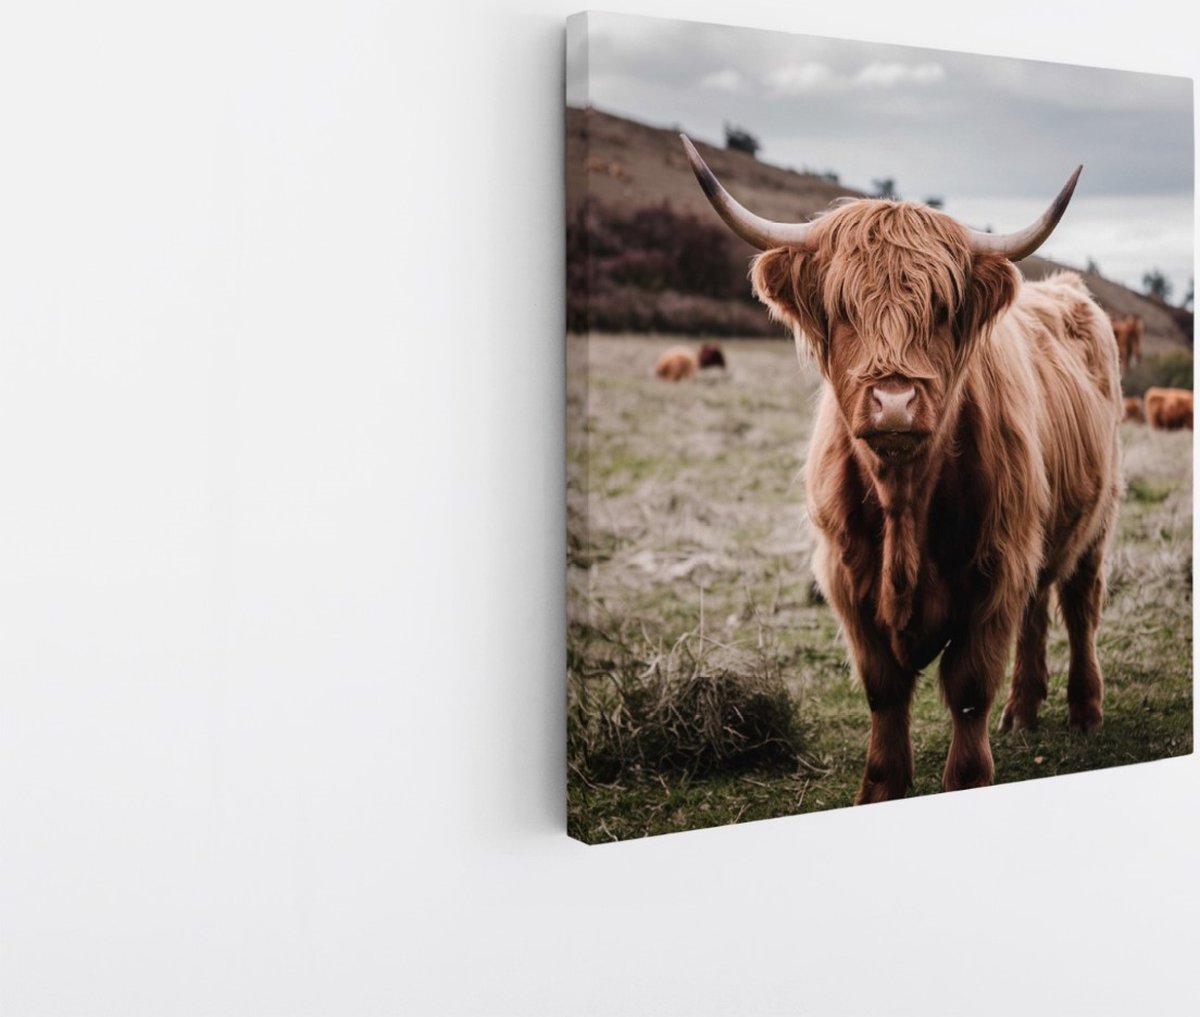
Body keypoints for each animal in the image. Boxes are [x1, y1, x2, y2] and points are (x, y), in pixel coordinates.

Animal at [681, 135, 1121, 803]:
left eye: (941, 307)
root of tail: (1066, 291)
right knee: (1038, 606)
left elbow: (968, 692)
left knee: (1079, 605)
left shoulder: (993, 574)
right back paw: (1022, 711)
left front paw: (967, 777)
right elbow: (884, 696)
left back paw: (1085, 711)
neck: (904, 504)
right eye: (842, 308)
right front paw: (881, 789)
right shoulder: (848, 581)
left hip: (1096, 521)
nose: (893, 401)